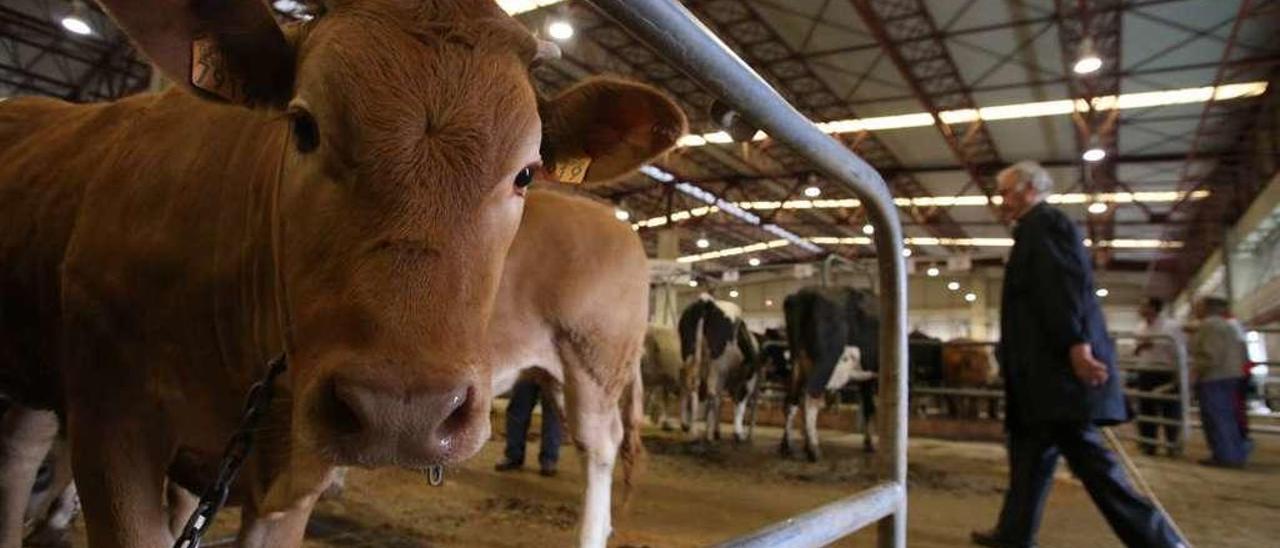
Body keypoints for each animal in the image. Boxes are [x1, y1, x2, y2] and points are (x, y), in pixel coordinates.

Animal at [0, 2, 686, 545]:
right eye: (303, 126)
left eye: (525, 172)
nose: (401, 412)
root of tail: (622, 228)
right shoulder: (119, 424)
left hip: (594, 359)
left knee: (600, 447)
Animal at [680, 295, 757, 440]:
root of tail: (707, 301)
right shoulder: (742, 381)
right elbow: (737, 403)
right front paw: (738, 433)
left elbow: (720, 399)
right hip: (716, 364)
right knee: (710, 393)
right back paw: (708, 435)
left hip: (689, 355)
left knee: (689, 387)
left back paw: (690, 428)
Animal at [778, 286, 880, 463]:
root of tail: (804, 294)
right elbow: (870, 406)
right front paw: (870, 443)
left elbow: (868, 405)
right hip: (825, 362)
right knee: (811, 397)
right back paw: (813, 449)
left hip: (798, 362)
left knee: (791, 400)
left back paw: (788, 446)